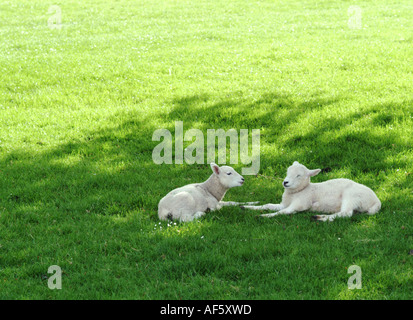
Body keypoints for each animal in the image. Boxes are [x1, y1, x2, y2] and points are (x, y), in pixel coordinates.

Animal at [241, 161, 380, 221]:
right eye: (287, 172)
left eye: (299, 176)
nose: (285, 182)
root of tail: (376, 202)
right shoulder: (284, 203)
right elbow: (268, 205)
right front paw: (246, 207)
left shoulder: (301, 203)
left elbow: (283, 212)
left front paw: (265, 216)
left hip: (352, 196)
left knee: (346, 213)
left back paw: (320, 218)